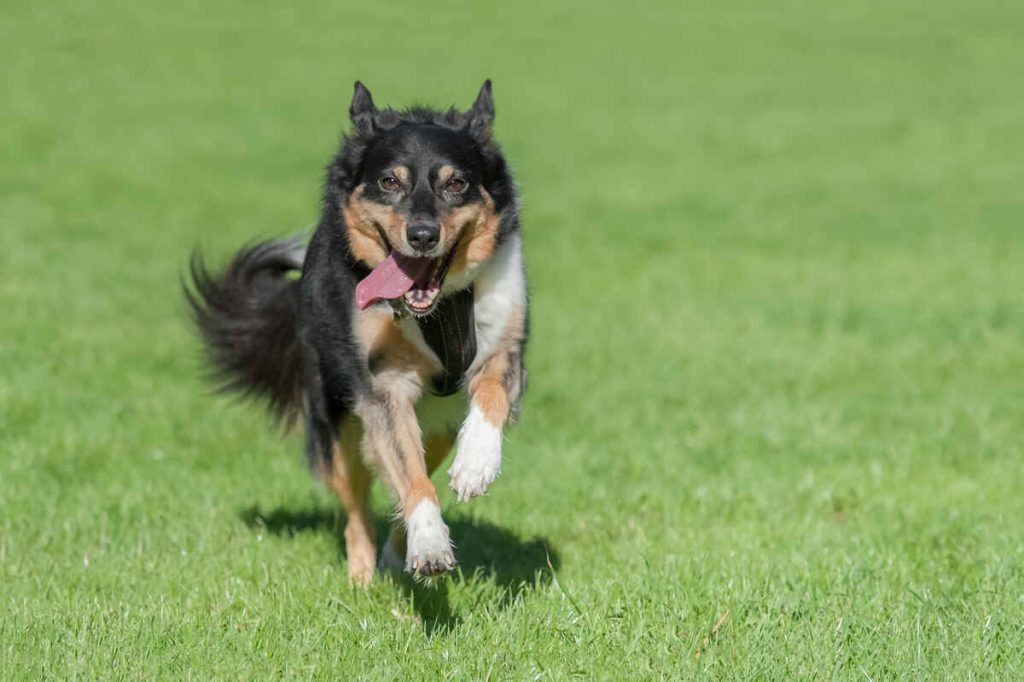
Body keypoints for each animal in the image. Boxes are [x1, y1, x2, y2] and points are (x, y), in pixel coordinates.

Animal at [185, 78, 532, 577]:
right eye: (390, 182)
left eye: (456, 183)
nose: (422, 236)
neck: (437, 309)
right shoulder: (383, 385)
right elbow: (409, 476)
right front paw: (429, 542)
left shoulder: (505, 346)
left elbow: (491, 397)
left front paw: (476, 465)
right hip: (338, 423)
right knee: (358, 505)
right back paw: (364, 575)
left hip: (438, 423)